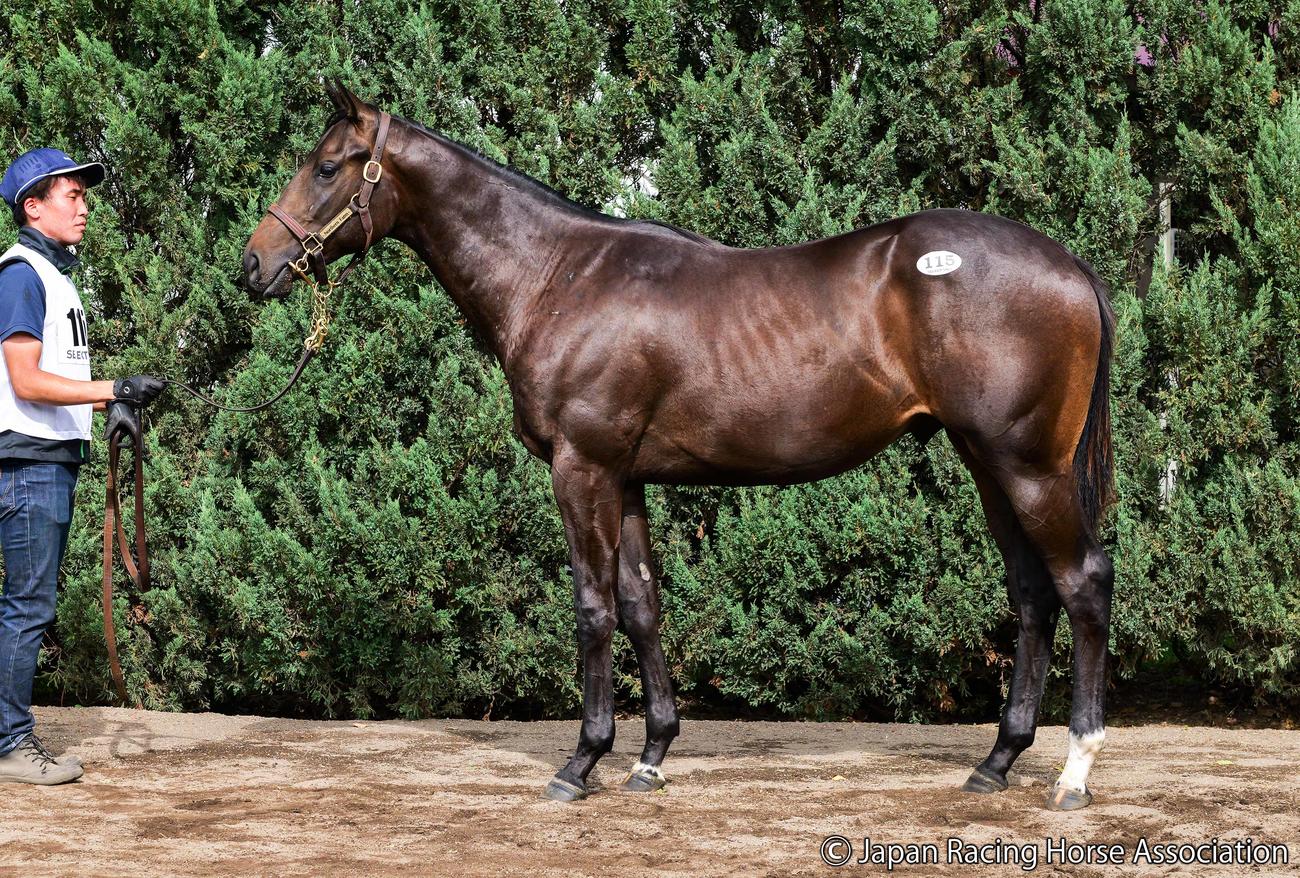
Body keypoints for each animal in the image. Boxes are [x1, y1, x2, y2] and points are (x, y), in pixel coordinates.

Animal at [241, 81, 1116, 811]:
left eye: (326, 167)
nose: (254, 264)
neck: (559, 275)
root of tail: (1070, 264)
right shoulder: (624, 478)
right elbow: (641, 605)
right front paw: (650, 756)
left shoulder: (582, 468)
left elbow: (593, 609)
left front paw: (581, 762)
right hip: (987, 465)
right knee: (1032, 594)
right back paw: (996, 763)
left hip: (1028, 468)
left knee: (1083, 583)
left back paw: (1073, 773)